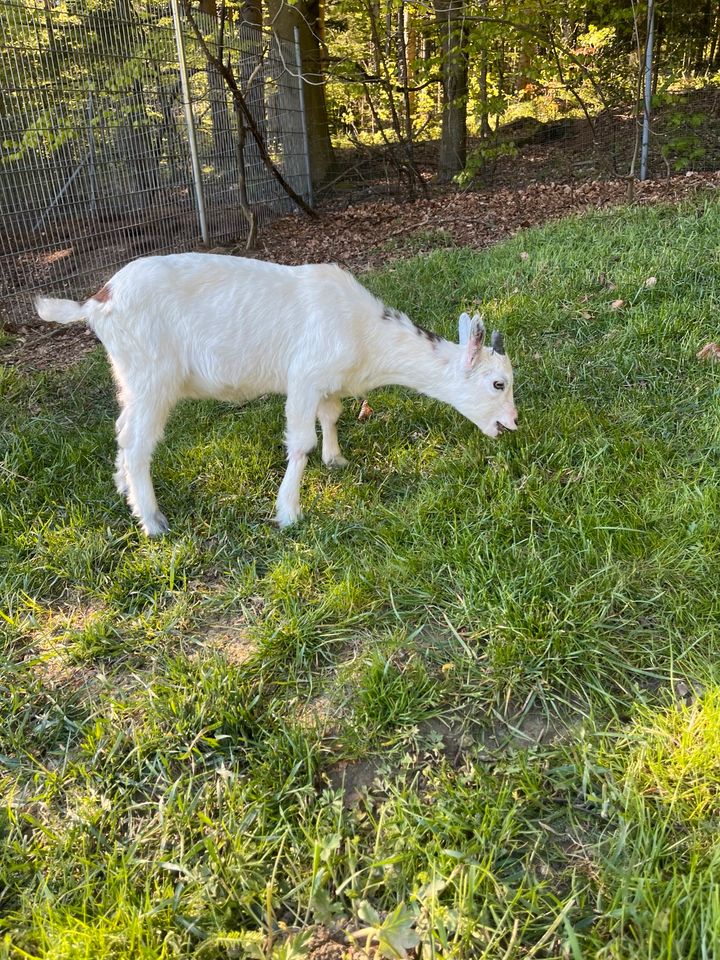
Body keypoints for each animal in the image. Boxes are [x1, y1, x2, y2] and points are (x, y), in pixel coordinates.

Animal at [35, 255, 516, 536]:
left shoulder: (325, 380)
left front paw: (336, 460)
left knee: (122, 428)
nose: (511, 424)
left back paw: (124, 490)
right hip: (153, 374)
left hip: (128, 375)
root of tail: (98, 301)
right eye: (498, 383)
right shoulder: (303, 375)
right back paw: (153, 522)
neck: (365, 335)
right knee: (138, 442)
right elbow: (301, 442)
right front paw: (289, 513)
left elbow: (331, 415)